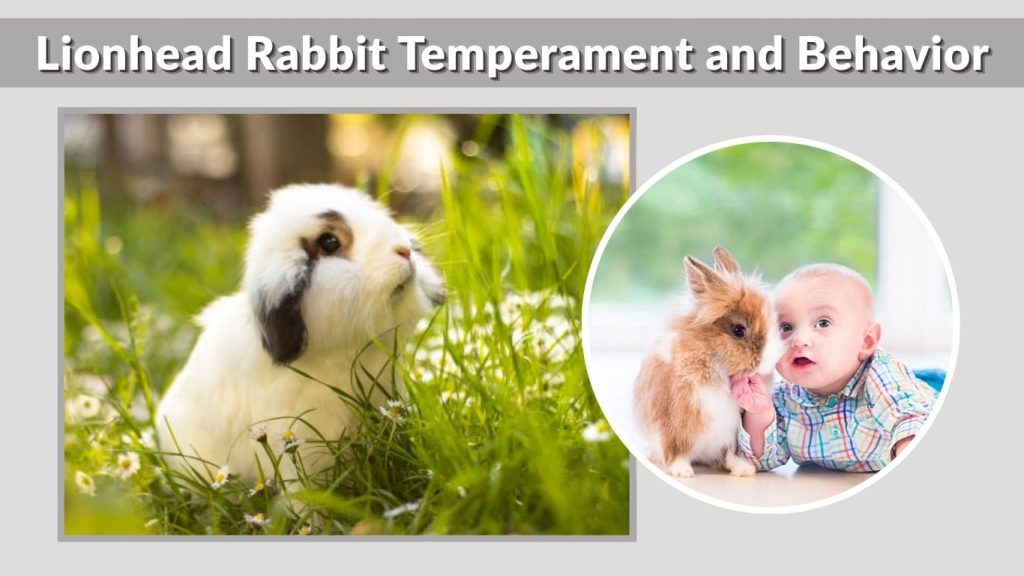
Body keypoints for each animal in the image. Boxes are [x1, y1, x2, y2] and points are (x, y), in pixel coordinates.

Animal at [633, 247, 781, 478]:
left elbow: (729, 452)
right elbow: (676, 450)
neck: (714, 361)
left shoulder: (730, 429)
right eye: (738, 330)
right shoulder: (673, 422)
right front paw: (682, 472)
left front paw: (743, 469)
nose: (768, 362)